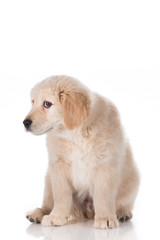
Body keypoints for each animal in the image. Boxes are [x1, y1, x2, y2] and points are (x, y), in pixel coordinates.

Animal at [23, 75, 139, 229]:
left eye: (47, 104)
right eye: (33, 102)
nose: (25, 123)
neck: (75, 133)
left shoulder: (105, 165)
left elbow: (103, 195)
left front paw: (105, 218)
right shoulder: (58, 165)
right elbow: (61, 195)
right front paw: (56, 216)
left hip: (132, 181)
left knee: (122, 202)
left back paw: (122, 213)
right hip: (48, 179)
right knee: (48, 203)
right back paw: (38, 213)